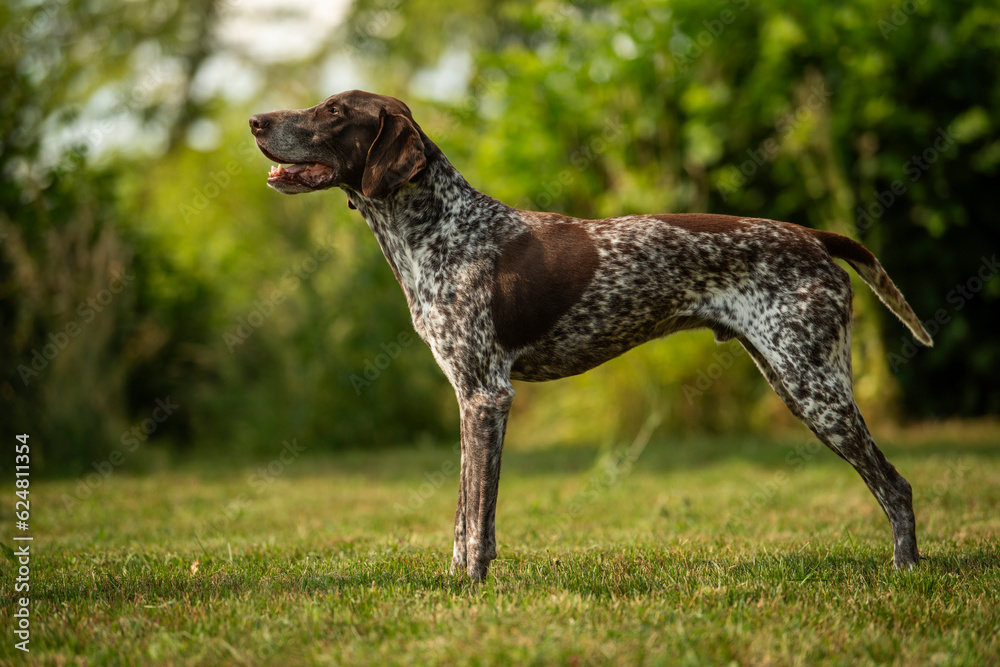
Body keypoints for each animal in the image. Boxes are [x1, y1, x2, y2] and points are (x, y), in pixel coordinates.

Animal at [250, 88, 928, 580]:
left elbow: (477, 518)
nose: (256, 121)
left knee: (896, 485)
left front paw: (471, 587)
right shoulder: (469, 398)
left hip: (814, 386)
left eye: (334, 112)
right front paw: (454, 582)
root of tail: (813, 236)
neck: (436, 228)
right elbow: (464, 514)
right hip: (794, 380)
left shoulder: (486, 395)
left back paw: (906, 570)